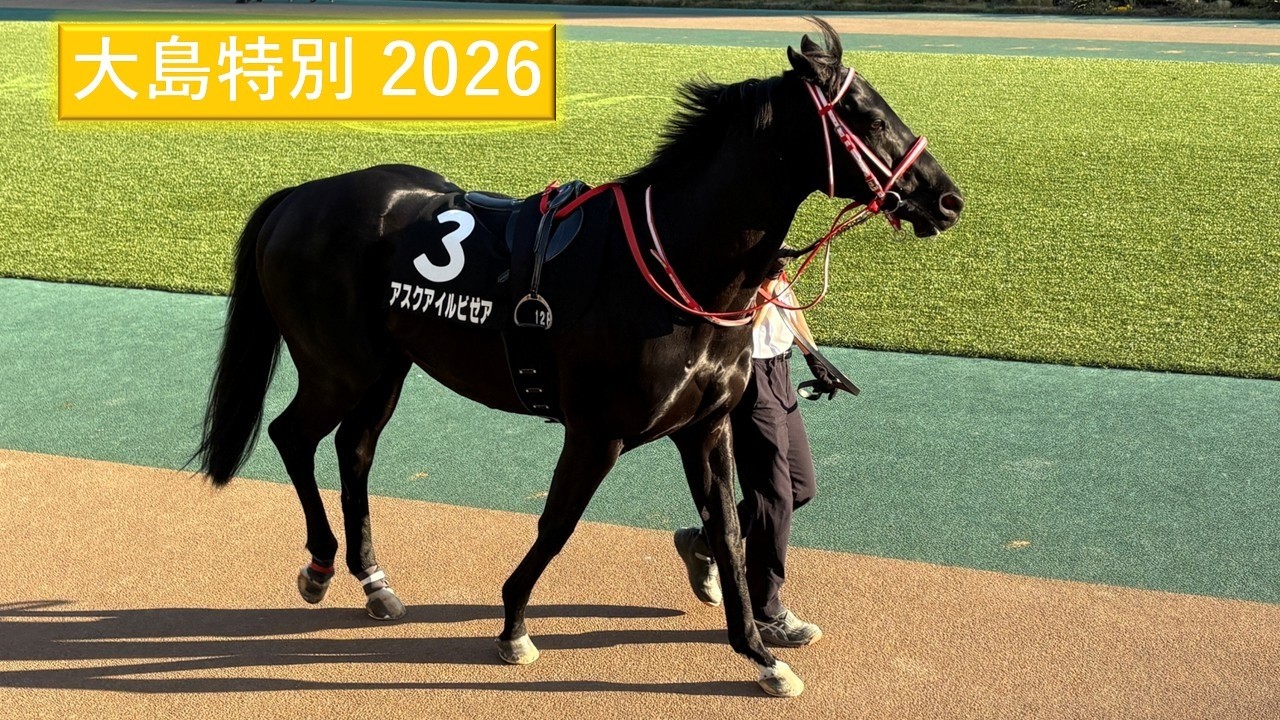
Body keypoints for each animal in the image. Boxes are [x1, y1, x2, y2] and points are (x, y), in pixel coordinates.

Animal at [193, 19, 962, 697]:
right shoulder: (598, 431)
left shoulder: (706, 427)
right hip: (338, 365)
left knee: (353, 450)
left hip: (388, 367)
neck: (670, 260)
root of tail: (300, 195)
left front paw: (759, 653)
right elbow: (558, 522)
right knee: (292, 435)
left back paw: (374, 581)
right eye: (866, 117)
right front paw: (513, 623)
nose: (947, 198)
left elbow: (729, 529)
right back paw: (320, 566)